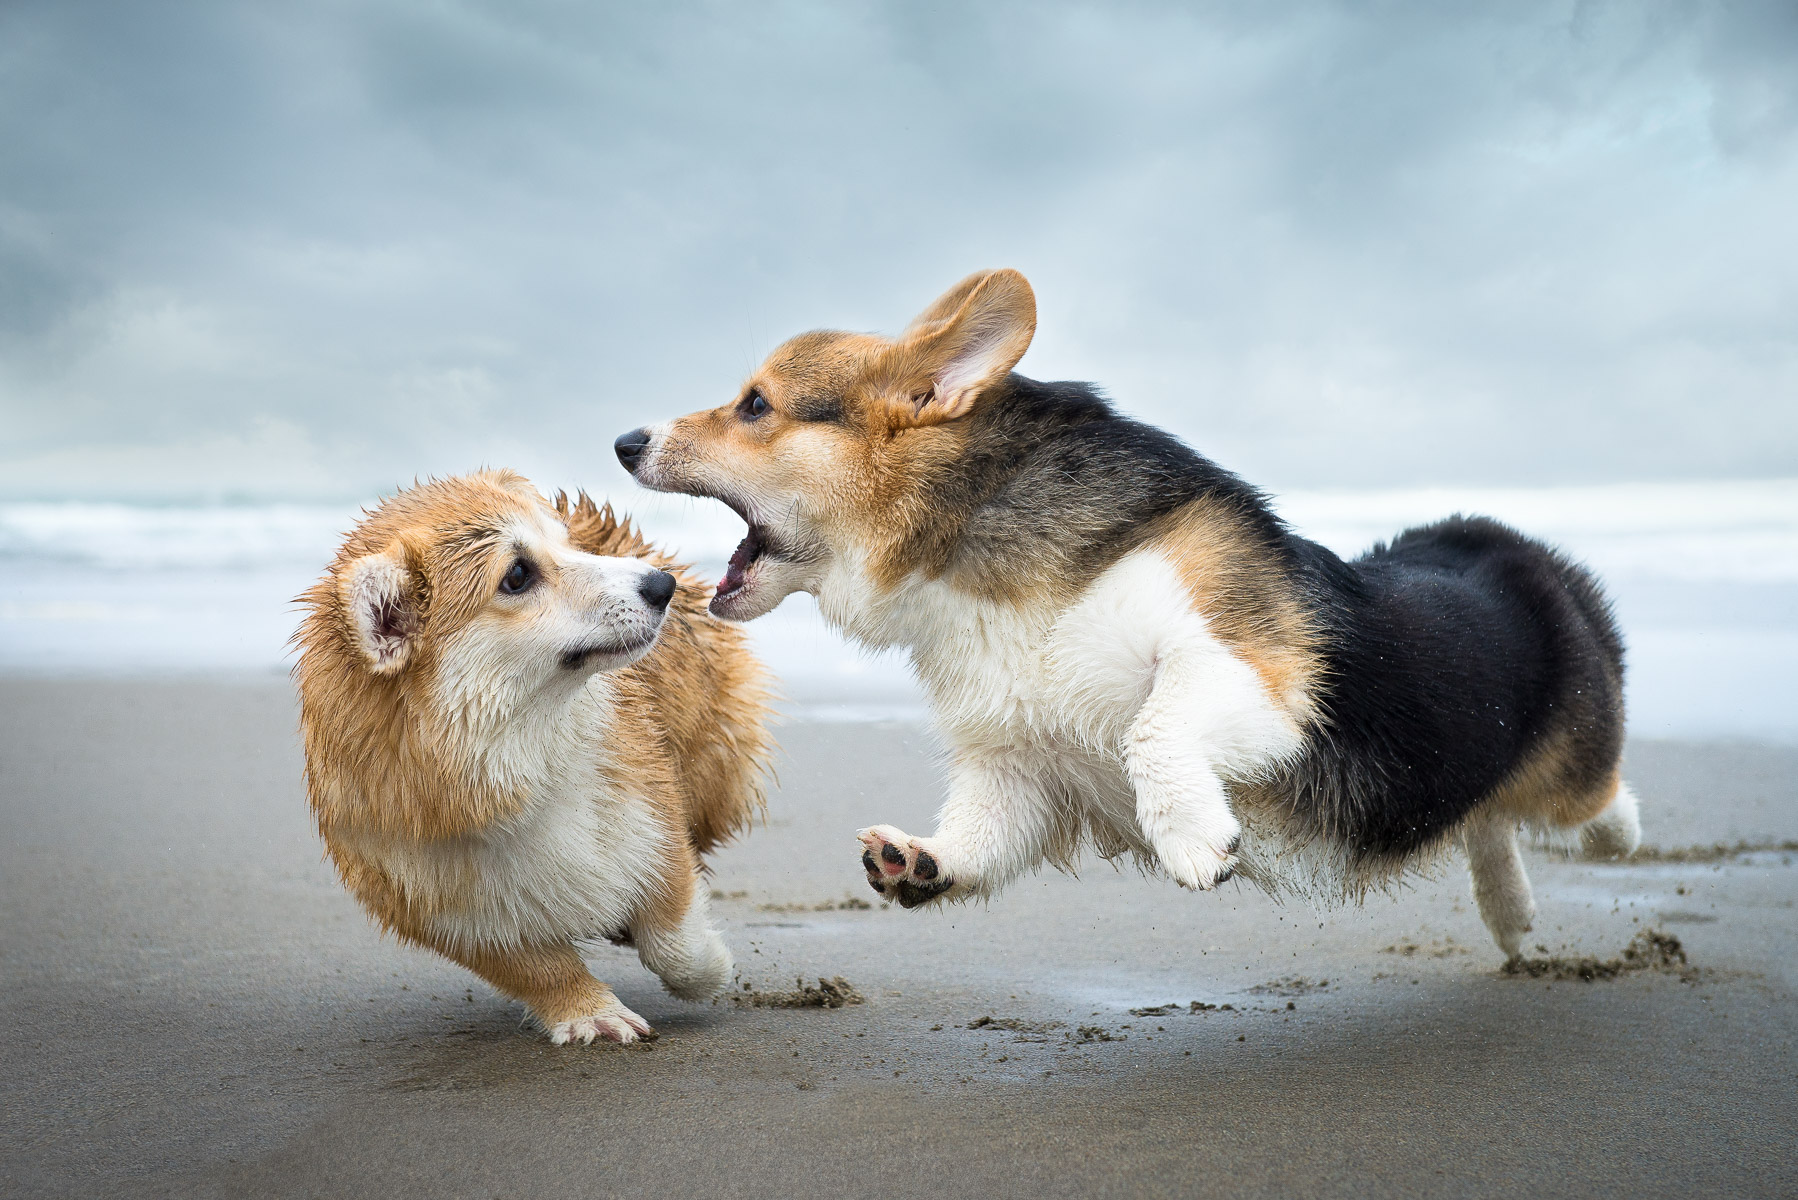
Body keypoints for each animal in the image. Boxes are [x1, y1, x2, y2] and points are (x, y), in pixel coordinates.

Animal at [294, 467, 773, 1043]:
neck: (516, 758)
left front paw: (711, 970)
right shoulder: (431, 898)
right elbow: (537, 967)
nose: (661, 586)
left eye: (566, 544)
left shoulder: (650, 812)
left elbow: (673, 933)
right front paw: (592, 1013)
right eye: (517, 575)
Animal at [618, 269, 1646, 957]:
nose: (625, 439)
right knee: (1485, 821)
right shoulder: (1019, 762)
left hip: (1571, 765)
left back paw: (1617, 844)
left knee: (1593, 801)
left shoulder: (1250, 670)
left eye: (756, 405)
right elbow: (982, 833)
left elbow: (1155, 725)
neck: (972, 551)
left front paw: (1194, 840)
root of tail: (1500, 538)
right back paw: (1512, 917)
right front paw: (918, 860)